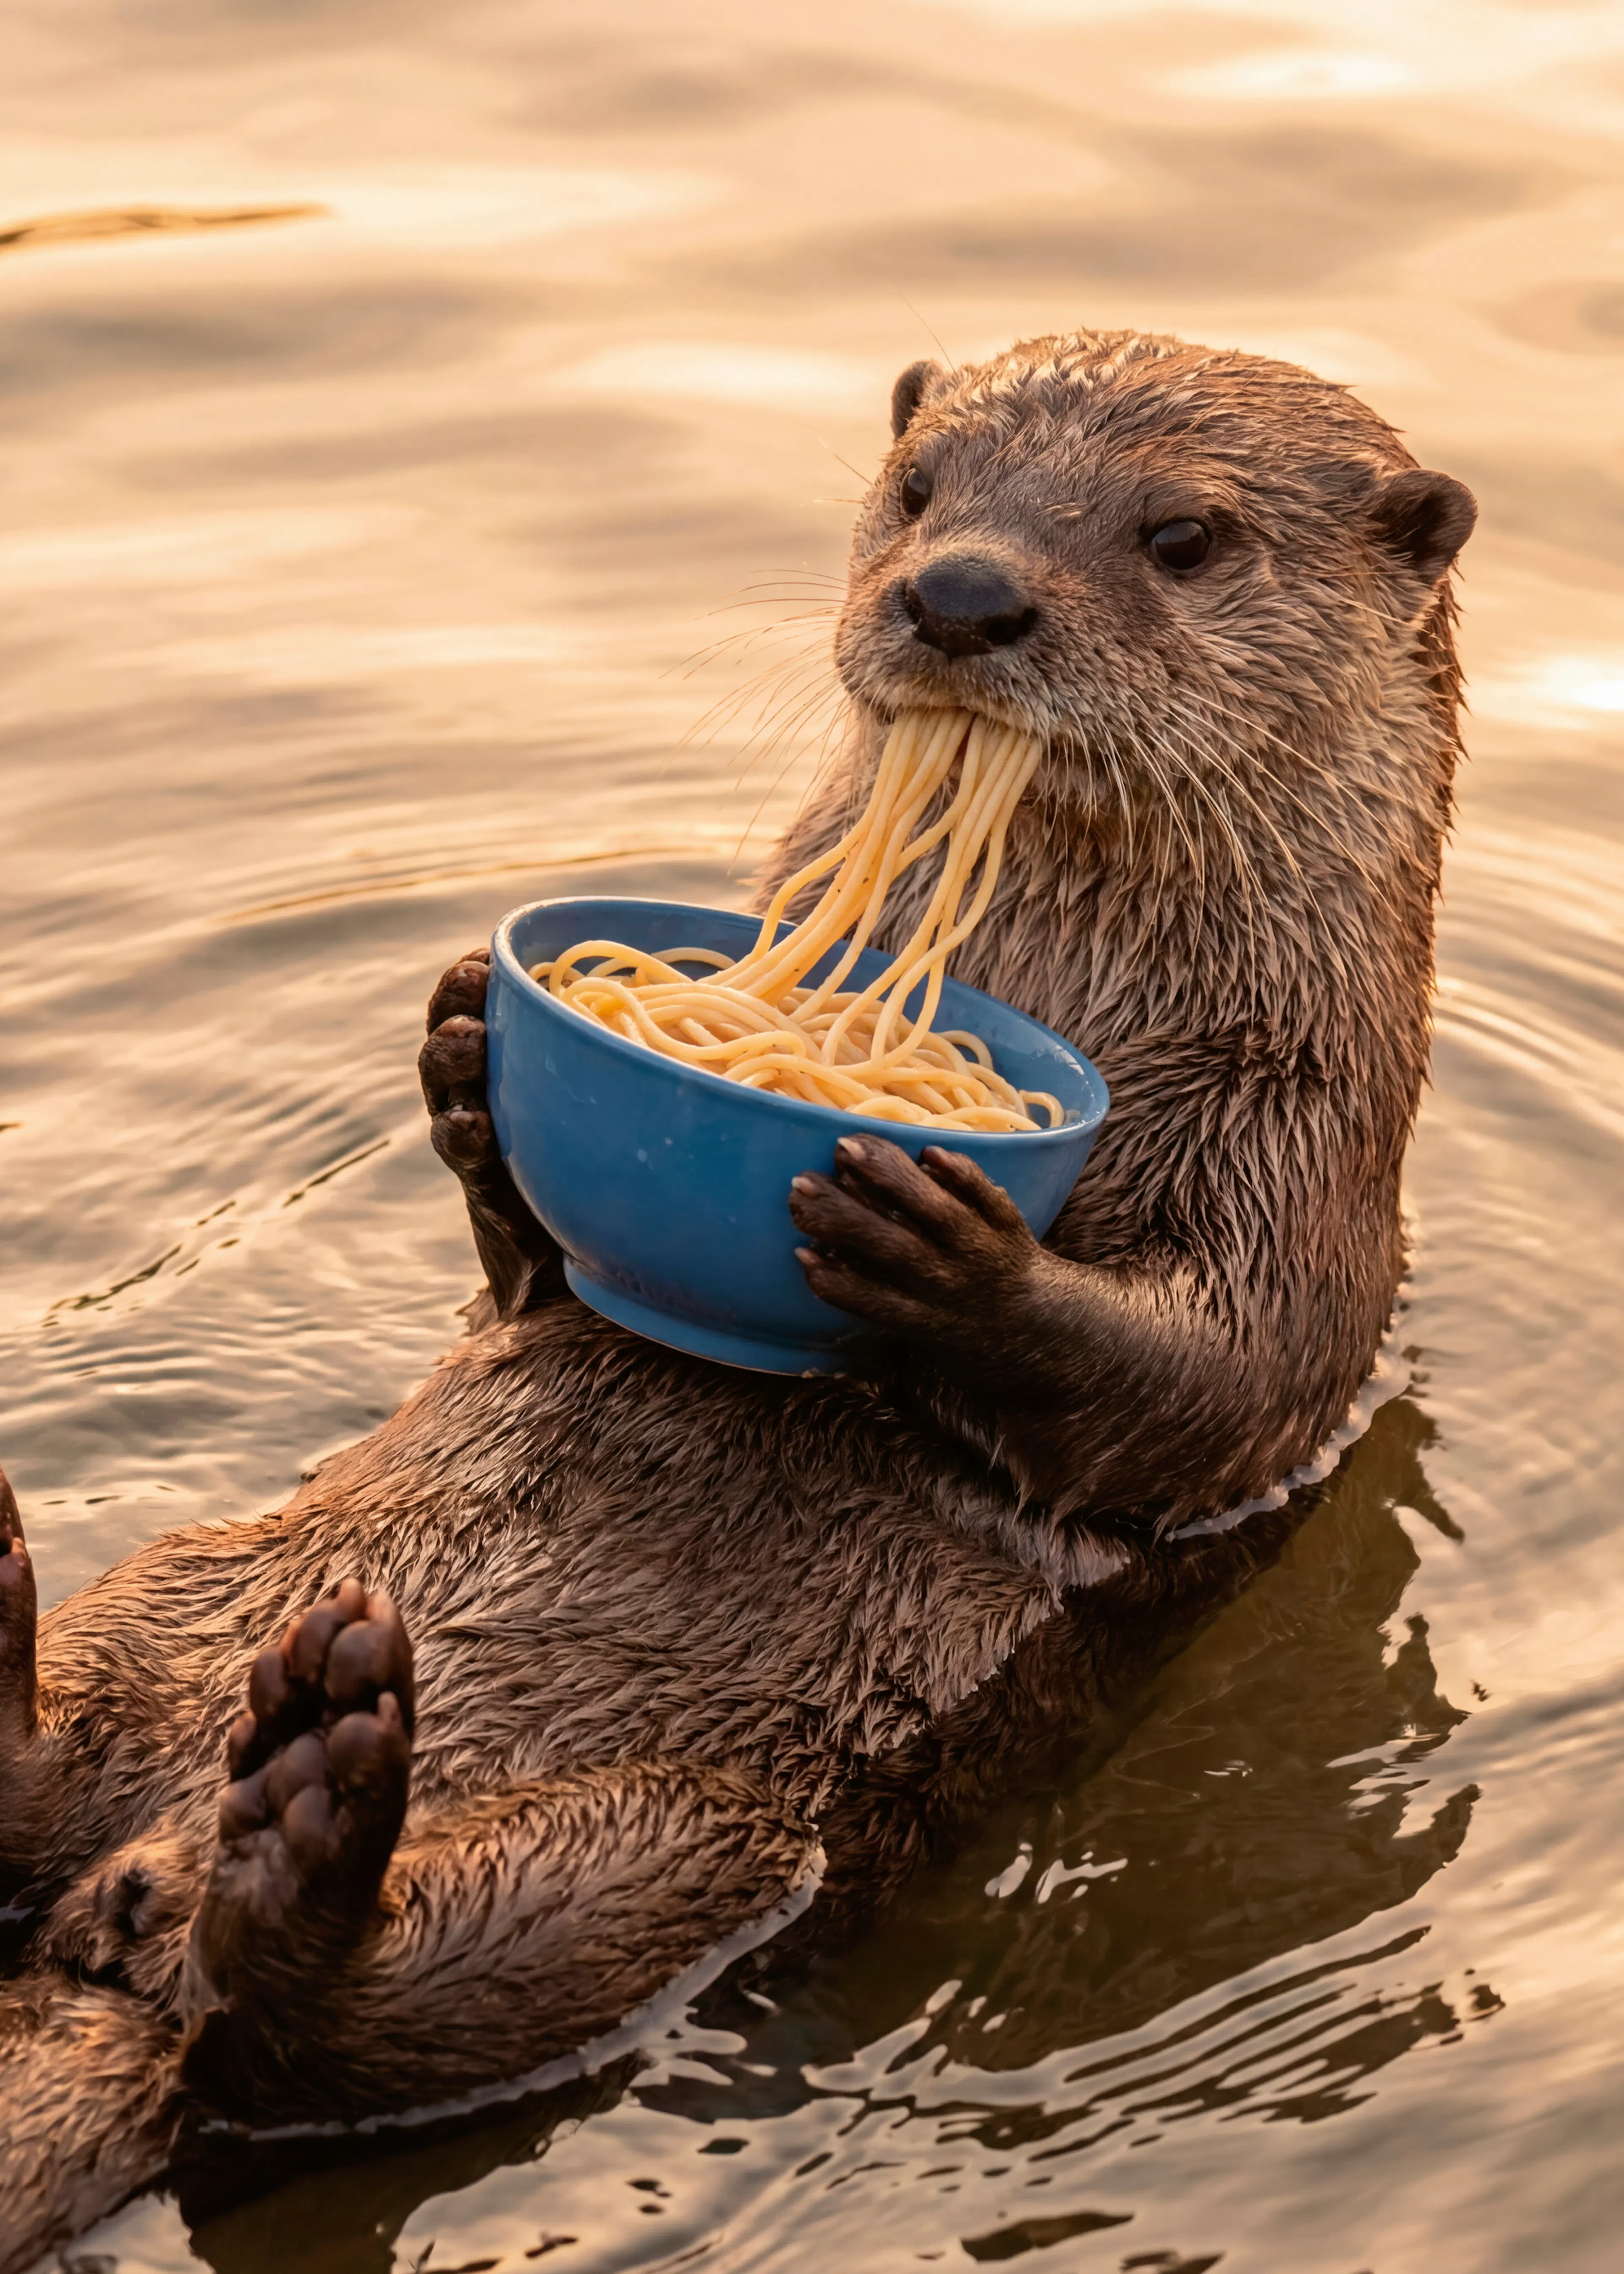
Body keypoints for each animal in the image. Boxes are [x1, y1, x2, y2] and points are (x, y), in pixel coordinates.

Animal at [0, 327, 1474, 2267]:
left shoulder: (1313, 1163)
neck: (1091, 983)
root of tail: (113, 1920)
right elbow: (529, 1285)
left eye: (1181, 534)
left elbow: (1220, 1384)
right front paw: (468, 1042)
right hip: (175, 1606)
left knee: (305, 2041)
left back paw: (306, 1817)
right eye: (919, 482)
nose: (964, 593)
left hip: (676, 1848)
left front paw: (953, 1250)